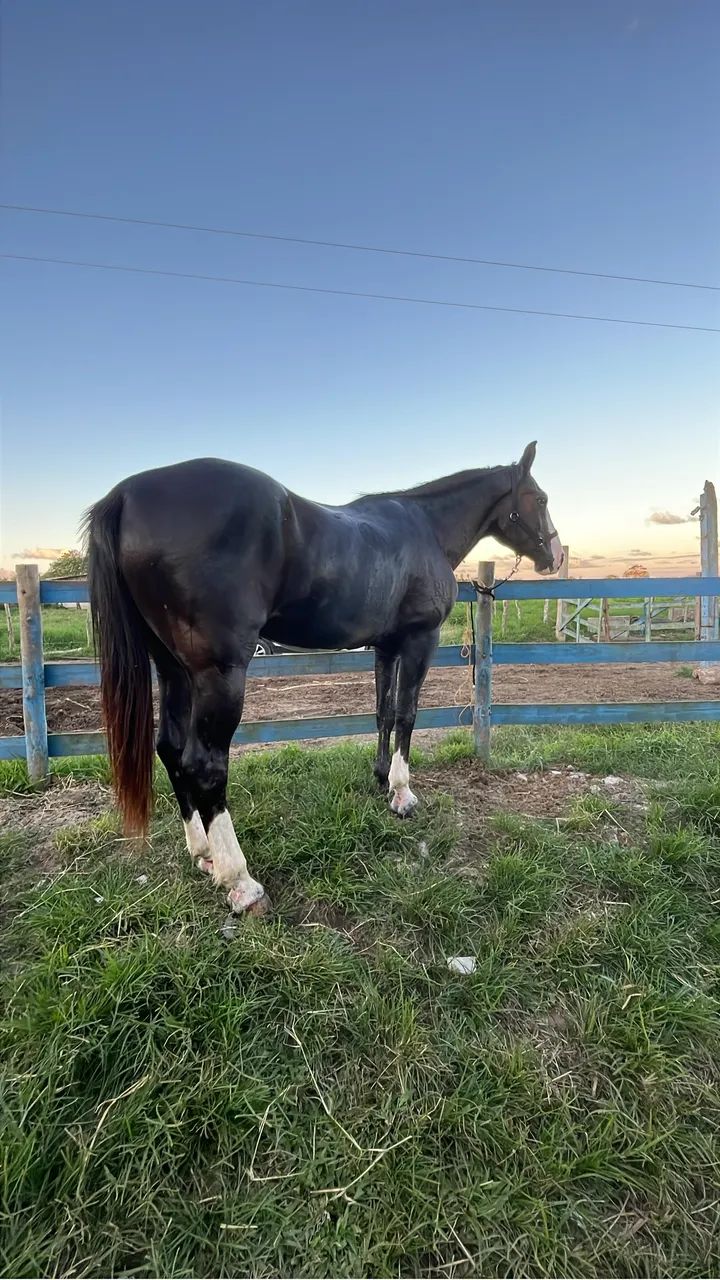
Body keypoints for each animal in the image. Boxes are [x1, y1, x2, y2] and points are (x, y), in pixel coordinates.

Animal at [84, 440, 562, 917]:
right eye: (540, 499)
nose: (555, 557)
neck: (425, 529)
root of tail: (128, 494)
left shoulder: (386, 647)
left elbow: (384, 712)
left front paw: (380, 776)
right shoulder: (419, 640)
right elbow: (407, 714)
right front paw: (402, 793)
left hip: (172, 668)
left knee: (169, 748)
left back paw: (203, 854)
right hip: (217, 674)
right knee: (204, 766)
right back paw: (241, 882)